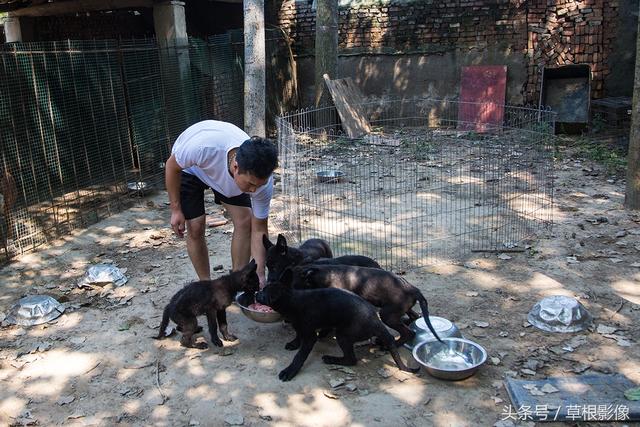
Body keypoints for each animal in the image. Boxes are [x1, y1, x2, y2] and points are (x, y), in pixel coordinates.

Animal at [255, 270, 420, 382]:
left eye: (263, 293)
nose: (256, 292)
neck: (293, 300)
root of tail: (375, 321)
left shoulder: (309, 336)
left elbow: (299, 356)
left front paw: (289, 371)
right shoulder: (299, 327)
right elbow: (297, 334)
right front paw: (294, 343)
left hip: (343, 335)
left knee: (352, 360)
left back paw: (331, 359)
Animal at [292, 266, 442, 346]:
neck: (325, 275)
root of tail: (414, 289)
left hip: (387, 315)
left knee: (409, 333)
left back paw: (389, 345)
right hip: (402, 309)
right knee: (414, 317)